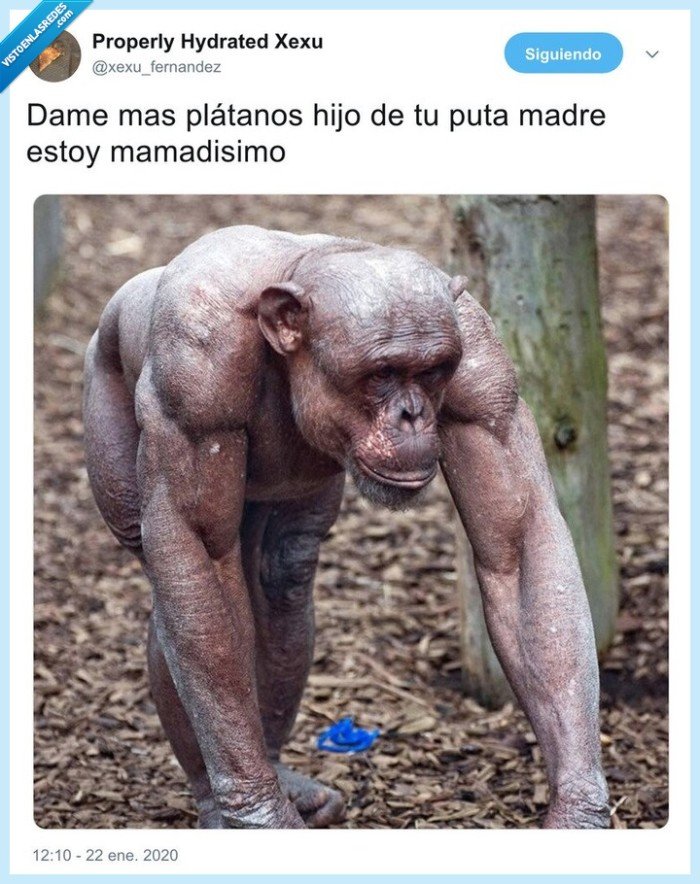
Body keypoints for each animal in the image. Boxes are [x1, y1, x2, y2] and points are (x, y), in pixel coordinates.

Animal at [82, 225, 609, 829]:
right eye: (382, 374)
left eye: (432, 371)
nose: (412, 414)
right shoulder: (192, 375)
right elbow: (198, 553)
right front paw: (258, 815)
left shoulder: (484, 372)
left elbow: (517, 541)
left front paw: (578, 809)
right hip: (104, 395)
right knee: (179, 586)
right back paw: (217, 800)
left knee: (283, 578)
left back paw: (279, 771)